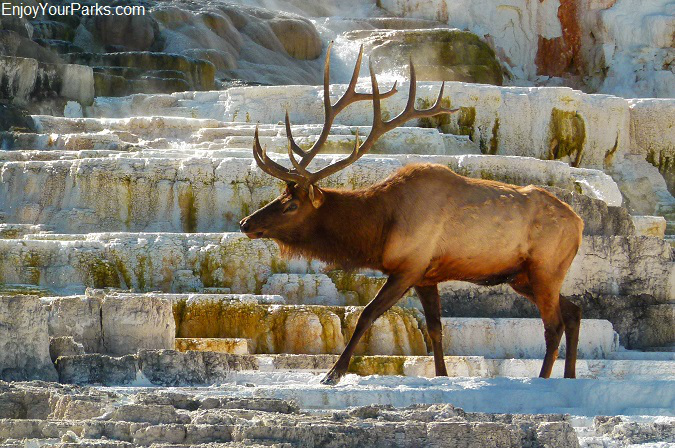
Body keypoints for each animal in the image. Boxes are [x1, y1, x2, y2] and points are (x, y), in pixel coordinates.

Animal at [240, 43, 584, 384]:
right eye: (280, 195)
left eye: (292, 204)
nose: (245, 223)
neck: (378, 230)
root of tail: (579, 222)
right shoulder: (426, 276)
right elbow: (435, 329)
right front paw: (442, 375)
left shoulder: (408, 266)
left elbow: (367, 313)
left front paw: (333, 373)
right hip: (522, 276)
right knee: (573, 312)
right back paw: (569, 376)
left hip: (546, 268)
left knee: (553, 325)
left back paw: (544, 378)